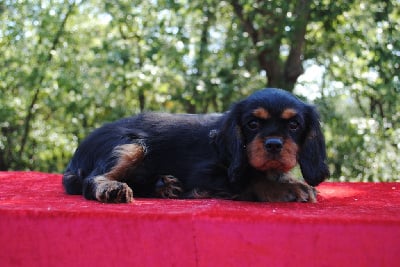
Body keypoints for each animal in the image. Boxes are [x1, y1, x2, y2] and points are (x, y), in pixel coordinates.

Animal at [64, 88, 330, 203]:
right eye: (252, 124)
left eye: (294, 125)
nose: (274, 144)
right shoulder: (205, 174)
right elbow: (252, 180)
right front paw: (289, 189)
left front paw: (291, 181)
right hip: (131, 145)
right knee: (93, 179)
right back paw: (114, 188)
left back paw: (164, 186)